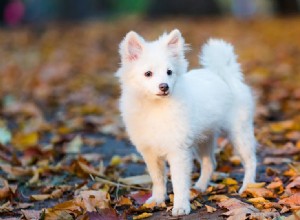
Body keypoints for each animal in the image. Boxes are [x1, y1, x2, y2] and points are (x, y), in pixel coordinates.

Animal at [116, 29, 256, 217]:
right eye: (148, 74)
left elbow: (179, 182)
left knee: (250, 161)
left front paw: (181, 206)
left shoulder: (178, 152)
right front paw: (157, 199)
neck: (155, 107)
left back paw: (249, 186)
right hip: (204, 139)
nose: (164, 86)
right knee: (210, 163)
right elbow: (158, 179)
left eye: (169, 72)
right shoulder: (150, 153)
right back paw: (200, 187)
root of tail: (223, 74)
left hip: (239, 133)